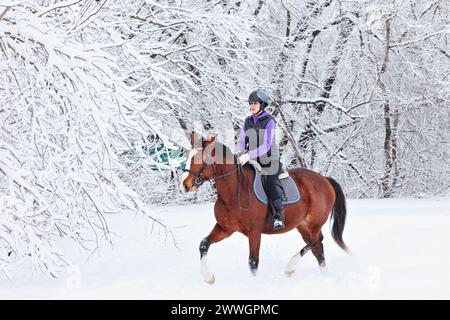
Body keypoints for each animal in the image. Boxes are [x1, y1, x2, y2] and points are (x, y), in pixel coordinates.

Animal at [180, 132, 348, 284]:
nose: (184, 185)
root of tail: (324, 179)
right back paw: (324, 275)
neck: (234, 193)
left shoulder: (254, 232)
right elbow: (203, 244)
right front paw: (208, 278)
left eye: (199, 158)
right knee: (317, 248)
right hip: (303, 226)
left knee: (317, 241)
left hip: (314, 223)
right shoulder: (225, 228)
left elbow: (253, 262)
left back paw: (290, 268)